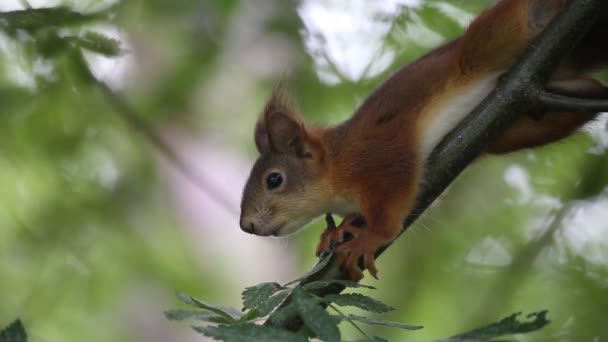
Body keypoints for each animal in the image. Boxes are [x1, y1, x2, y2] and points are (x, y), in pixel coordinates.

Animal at [238, 0, 608, 280]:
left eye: (274, 180)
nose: (247, 225)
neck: (338, 162)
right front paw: (340, 229)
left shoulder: (384, 156)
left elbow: (392, 210)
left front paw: (367, 239)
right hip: (530, 123)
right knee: (588, 93)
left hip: (494, 36)